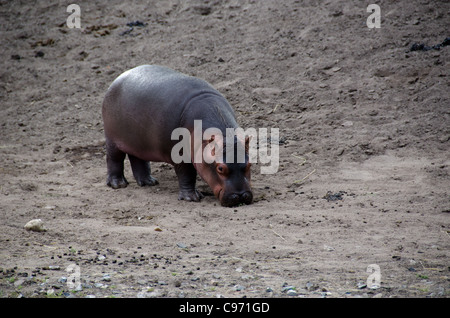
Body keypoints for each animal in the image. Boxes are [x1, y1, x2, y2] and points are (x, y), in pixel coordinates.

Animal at [100, 66, 253, 207]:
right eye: (220, 168)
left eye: (249, 164)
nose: (240, 196)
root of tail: (117, 79)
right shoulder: (179, 155)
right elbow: (187, 175)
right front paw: (191, 198)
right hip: (112, 139)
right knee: (114, 159)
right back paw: (118, 184)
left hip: (138, 142)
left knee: (138, 159)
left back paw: (149, 182)